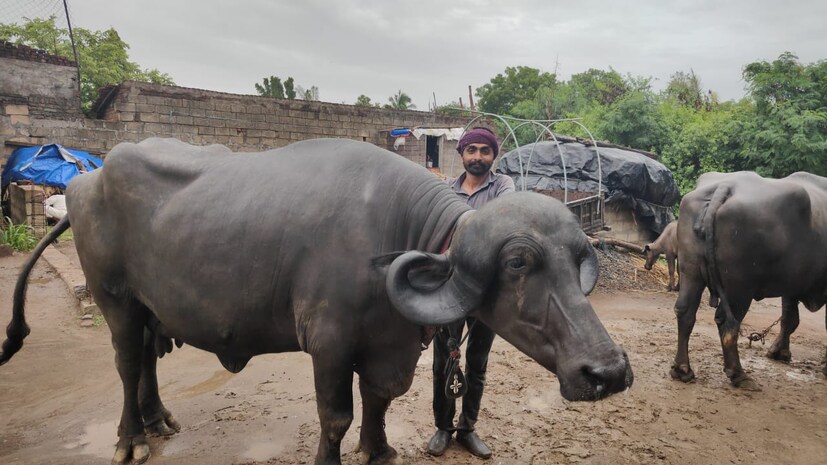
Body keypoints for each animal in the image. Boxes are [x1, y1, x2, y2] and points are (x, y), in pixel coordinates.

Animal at [1, 138, 633, 465]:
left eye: (576, 257)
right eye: (519, 263)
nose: (607, 372)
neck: (392, 232)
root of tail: (86, 180)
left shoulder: (387, 343)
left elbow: (379, 400)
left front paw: (380, 451)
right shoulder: (328, 343)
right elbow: (337, 416)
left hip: (154, 306)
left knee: (149, 363)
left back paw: (159, 421)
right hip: (116, 299)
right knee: (129, 362)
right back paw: (130, 439)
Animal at [672, 171, 827, 389]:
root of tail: (726, 186)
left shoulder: (792, 287)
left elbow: (789, 319)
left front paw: (779, 352)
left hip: (690, 271)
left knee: (685, 312)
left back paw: (682, 369)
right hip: (739, 289)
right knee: (727, 324)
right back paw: (738, 374)